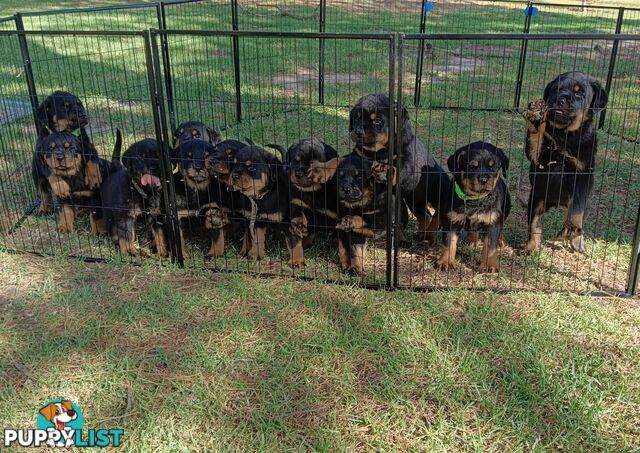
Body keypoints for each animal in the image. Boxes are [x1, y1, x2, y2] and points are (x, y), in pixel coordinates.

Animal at [348, 92, 448, 242]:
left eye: (377, 121)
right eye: (356, 118)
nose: (358, 131)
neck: (377, 152)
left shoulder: (407, 159)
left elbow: (400, 169)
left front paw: (383, 171)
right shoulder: (361, 154)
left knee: (437, 217)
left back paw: (429, 237)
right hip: (414, 201)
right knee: (425, 216)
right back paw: (420, 235)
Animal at [436, 141, 510, 274]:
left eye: (493, 167)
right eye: (472, 167)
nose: (484, 180)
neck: (475, 200)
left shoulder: (493, 222)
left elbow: (490, 247)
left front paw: (490, 265)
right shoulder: (451, 220)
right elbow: (448, 242)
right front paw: (445, 262)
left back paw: (500, 241)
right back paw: (472, 240)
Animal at [524, 72, 608, 252]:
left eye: (579, 93)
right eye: (557, 89)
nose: (561, 100)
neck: (565, 135)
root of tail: (556, 203)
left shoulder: (582, 175)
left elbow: (576, 209)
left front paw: (571, 231)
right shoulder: (540, 161)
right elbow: (536, 140)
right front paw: (536, 119)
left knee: (575, 213)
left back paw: (575, 237)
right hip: (536, 198)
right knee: (535, 224)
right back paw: (532, 246)